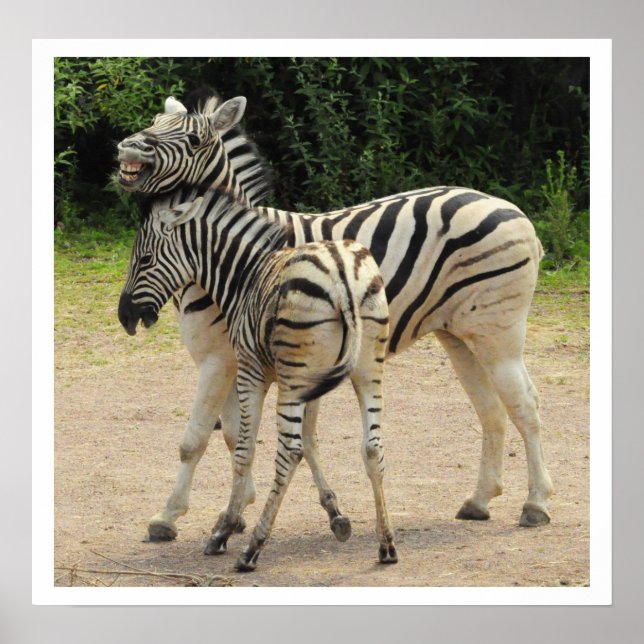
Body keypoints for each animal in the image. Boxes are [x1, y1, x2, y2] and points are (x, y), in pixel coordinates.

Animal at [118, 190, 397, 571]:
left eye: (145, 259)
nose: (124, 316)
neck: (243, 276)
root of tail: (341, 272)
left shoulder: (251, 371)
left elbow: (244, 449)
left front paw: (224, 529)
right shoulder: (315, 381)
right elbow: (311, 440)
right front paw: (336, 514)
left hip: (293, 377)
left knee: (288, 452)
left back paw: (252, 549)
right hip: (367, 367)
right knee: (372, 447)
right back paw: (386, 544)